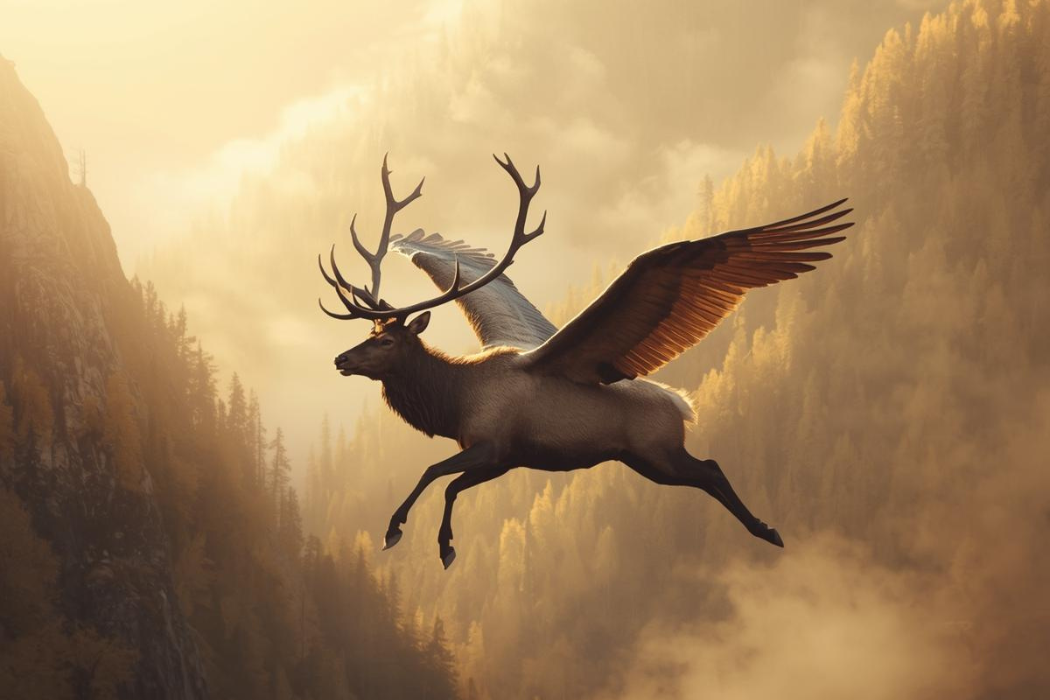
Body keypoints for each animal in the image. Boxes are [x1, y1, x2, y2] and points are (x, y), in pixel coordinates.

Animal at [318, 155, 853, 569]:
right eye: (370, 333)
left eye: (388, 342)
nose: (341, 359)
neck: (453, 400)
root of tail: (683, 405)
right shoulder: (504, 458)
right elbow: (449, 484)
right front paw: (434, 540)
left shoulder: (494, 447)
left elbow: (435, 475)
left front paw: (407, 533)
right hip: (643, 460)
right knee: (707, 471)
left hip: (657, 451)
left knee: (712, 468)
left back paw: (767, 530)